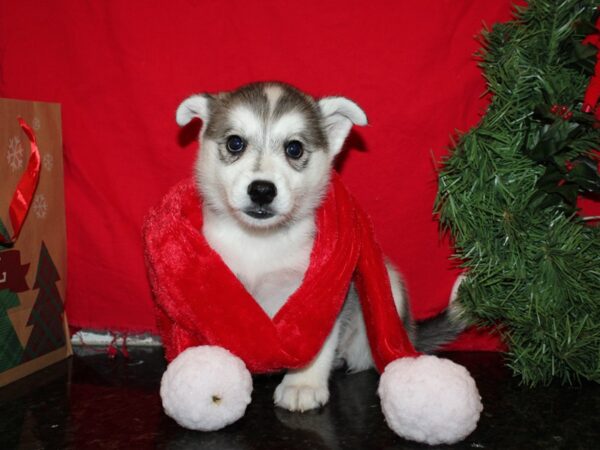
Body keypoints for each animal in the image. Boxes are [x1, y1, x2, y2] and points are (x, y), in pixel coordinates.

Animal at [176, 82, 462, 414]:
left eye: (294, 148)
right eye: (235, 143)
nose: (262, 190)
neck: (261, 241)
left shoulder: (324, 294)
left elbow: (314, 339)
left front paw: (302, 384)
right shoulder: (218, 284)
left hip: (387, 289)